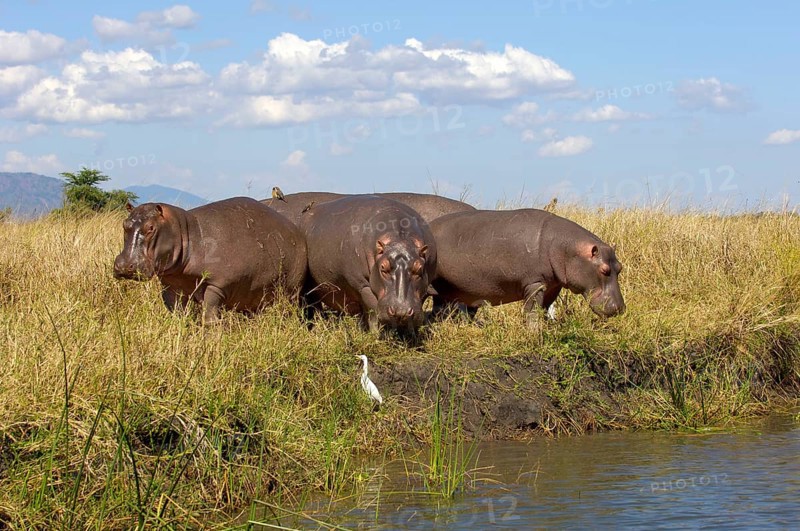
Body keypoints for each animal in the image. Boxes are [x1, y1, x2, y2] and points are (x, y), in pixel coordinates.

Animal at [113, 197, 307, 324]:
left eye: (151, 227)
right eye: (124, 224)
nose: (123, 265)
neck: (186, 233)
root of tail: (296, 232)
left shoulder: (217, 284)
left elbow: (209, 314)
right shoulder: (171, 286)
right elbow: (176, 313)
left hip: (291, 290)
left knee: (288, 309)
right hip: (254, 295)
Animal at [298, 195, 437, 334]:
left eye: (419, 269)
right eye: (383, 268)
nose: (401, 311)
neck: (400, 239)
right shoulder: (363, 286)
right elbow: (373, 312)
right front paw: (376, 335)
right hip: (310, 289)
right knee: (312, 306)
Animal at [429, 209, 625, 321]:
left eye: (620, 267)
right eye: (604, 270)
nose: (619, 308)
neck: (565, 248)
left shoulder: (552, 285)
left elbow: (545, 308)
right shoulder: (534, 283)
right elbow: (532, 310)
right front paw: (534, 332)